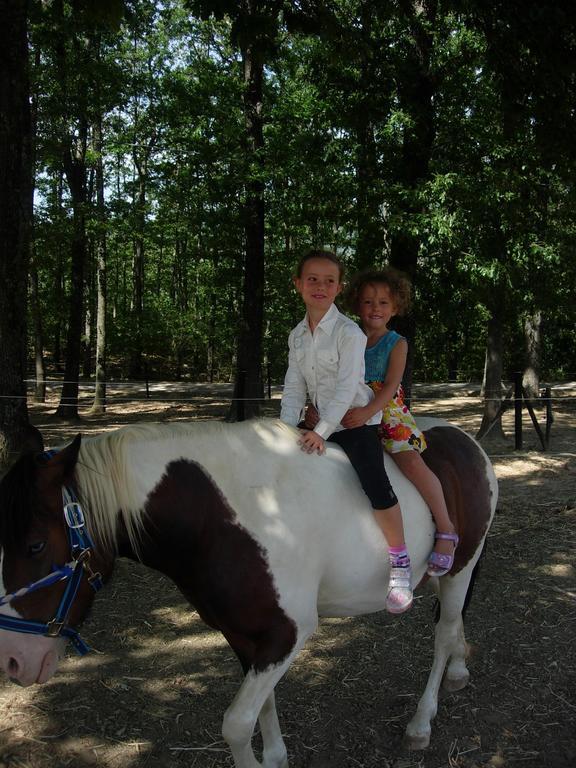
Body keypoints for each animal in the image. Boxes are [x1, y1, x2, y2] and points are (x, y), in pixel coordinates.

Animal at [0, 416, 498, 764]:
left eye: (36, 544)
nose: (13, 659)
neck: (223, 513)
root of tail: (468, 442)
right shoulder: (244, 636)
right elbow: (263, 711)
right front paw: (275, 758)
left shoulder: (286, 635)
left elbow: (237, 725)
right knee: (453, 624)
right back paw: (460, 669)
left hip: (460, 567)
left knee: (442, 634)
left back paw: (421, 721)